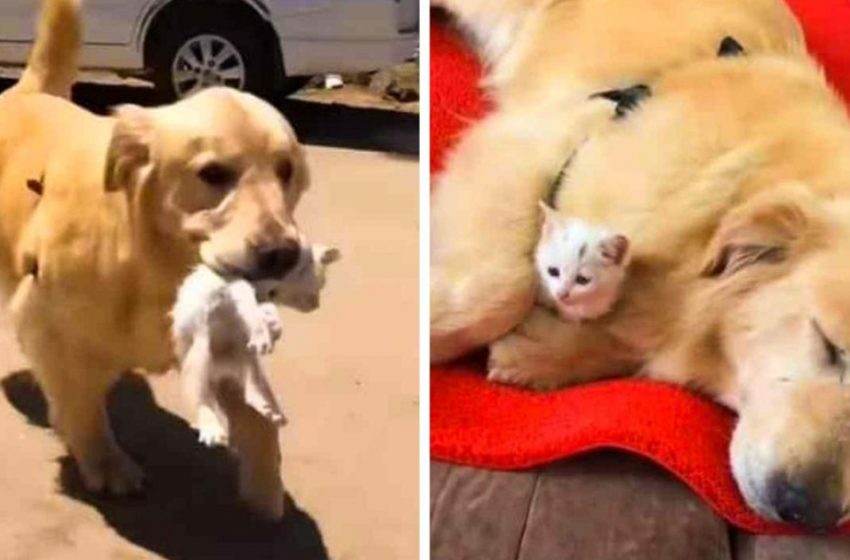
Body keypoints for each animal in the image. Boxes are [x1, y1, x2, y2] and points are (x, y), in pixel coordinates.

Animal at [171, 241, 340, 446]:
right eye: (321, 283)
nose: (316, 306)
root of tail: (222, 367)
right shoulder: (235, 282)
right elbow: (248, 298)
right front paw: (264, 327)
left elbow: (264, 309)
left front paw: (272, 326)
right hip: (199, 348)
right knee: (200, 393)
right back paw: (210, 426)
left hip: (244, 354)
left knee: (251, 382)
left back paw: (264, 405)